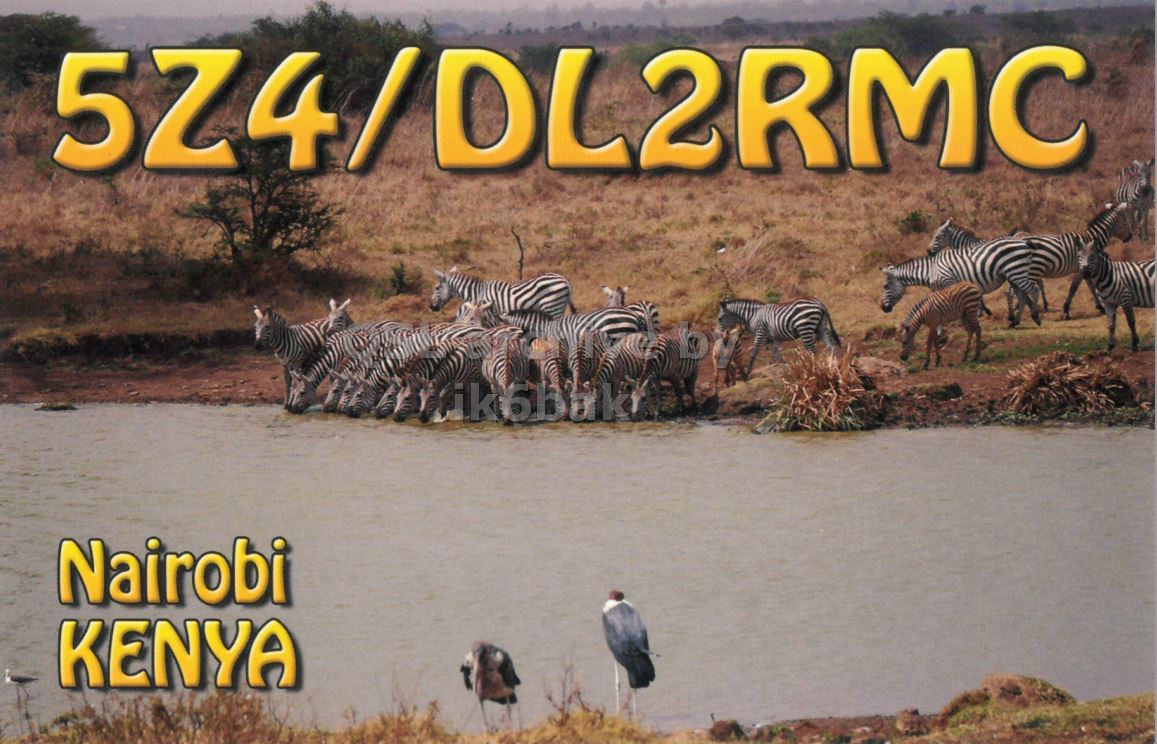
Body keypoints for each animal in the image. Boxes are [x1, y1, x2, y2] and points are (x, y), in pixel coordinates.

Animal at [430, 267, 576, 318]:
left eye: (436, 288)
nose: (431, 307)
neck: (478, 293)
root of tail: (565, 280)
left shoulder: (489, 312)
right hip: (559, 306)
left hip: (552, 306)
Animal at [881, 235, 1043, 328]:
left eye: (885, 286)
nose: (883, 308)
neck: (931, 270)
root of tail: (1023, 243)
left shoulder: (949, 282)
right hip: (1013, 275)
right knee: (1022, 295)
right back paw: (1015, 322)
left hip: (1016, 271)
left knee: (1033, 290)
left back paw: (1036, 316)